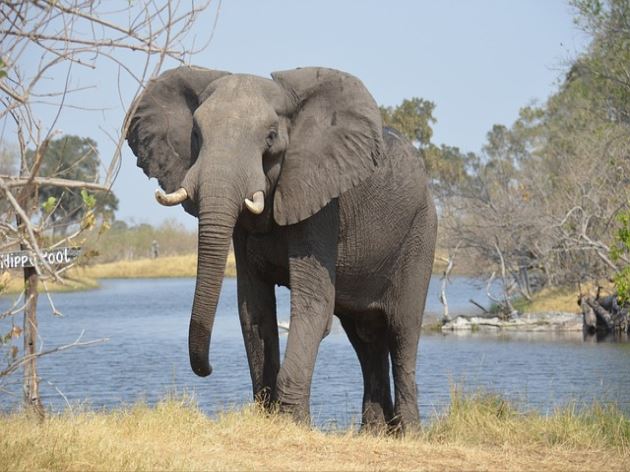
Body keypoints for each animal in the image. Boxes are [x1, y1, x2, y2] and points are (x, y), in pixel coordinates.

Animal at [126, 65, 436, 432]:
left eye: (271, 137)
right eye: (197, 134)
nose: (208, 369)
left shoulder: (321, 202)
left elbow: (313, 304)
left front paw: (295, 424)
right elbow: (253, 308)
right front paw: (268, 416)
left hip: (421, 231)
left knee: (403, 331)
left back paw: (408, 433)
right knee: (365, 337)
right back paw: (374, 433)